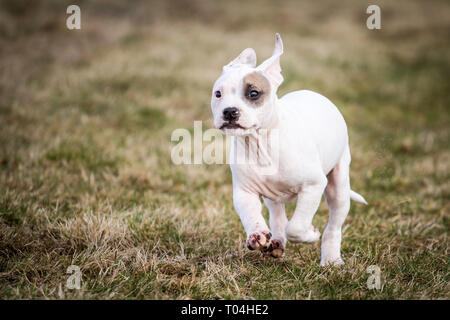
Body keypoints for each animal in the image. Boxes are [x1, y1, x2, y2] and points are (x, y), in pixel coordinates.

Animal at [210, 33, 366, 266]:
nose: (229, 111)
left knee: (333, 226)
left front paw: (310, 234)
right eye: (218, 94)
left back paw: (331, 260)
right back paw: (275, 243)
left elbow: (296, 227)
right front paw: (257, 234)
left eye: (253, 93)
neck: (260, 143)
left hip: (338, 186)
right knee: (277, 216)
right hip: (272, 196)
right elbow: (251, 215)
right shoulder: (244, 192)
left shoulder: (313, 185)